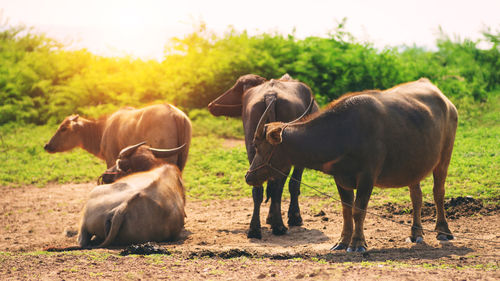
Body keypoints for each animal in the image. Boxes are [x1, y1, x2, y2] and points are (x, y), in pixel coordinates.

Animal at [208, 73, 318, 237]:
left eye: (236, 88)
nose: (211, 105)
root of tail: (271, 95)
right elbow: (292, 185)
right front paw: (294, 217)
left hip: (252, 147)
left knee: (258, 187)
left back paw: (255, 228)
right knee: (278, 187)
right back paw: (278, 226)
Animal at [245, 77, 458, 250]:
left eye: (258, 146)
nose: (249, 176)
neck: (344, 132)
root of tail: (446, 102)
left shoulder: (367, 177)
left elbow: (358, 210)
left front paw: (357, 244)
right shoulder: (341, 178)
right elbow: (346, 211)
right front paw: (341, 242)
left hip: (444, 157)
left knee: (438, 192)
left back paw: (443, 231)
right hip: (414, 165)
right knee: (416, 196)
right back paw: (416, 234)